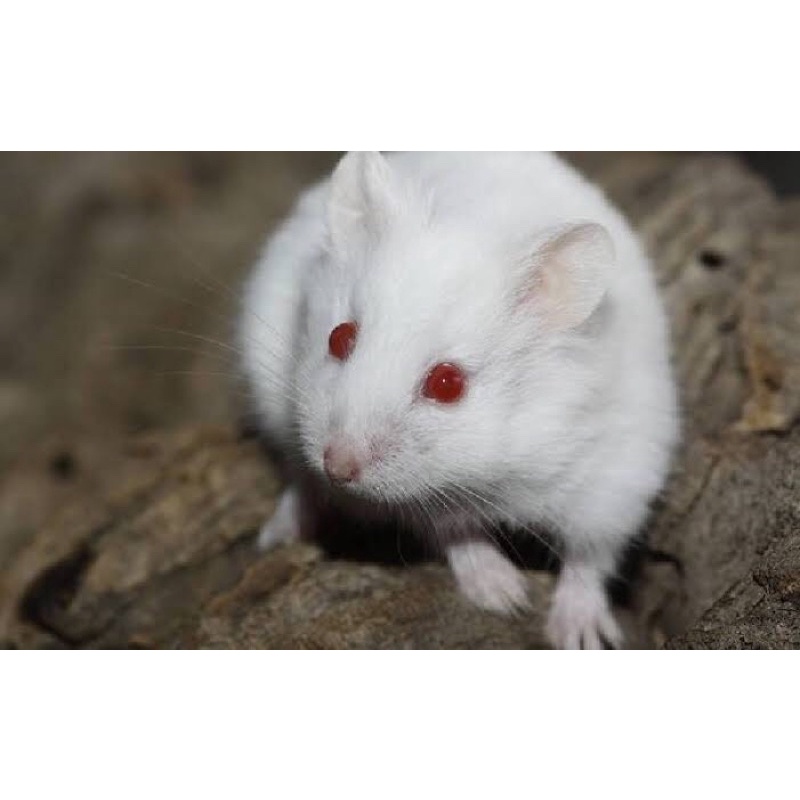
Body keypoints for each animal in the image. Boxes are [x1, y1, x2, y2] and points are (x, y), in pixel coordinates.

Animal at [238, 152, 679, 649]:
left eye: (448, 384)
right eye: (338, 337)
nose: (338, 468)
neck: (500, 466)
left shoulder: (616, 480)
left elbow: (590, 557)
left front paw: (576, 634)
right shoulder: (422, 504)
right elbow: (454, 530)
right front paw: (505, 594)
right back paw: (279, 533)